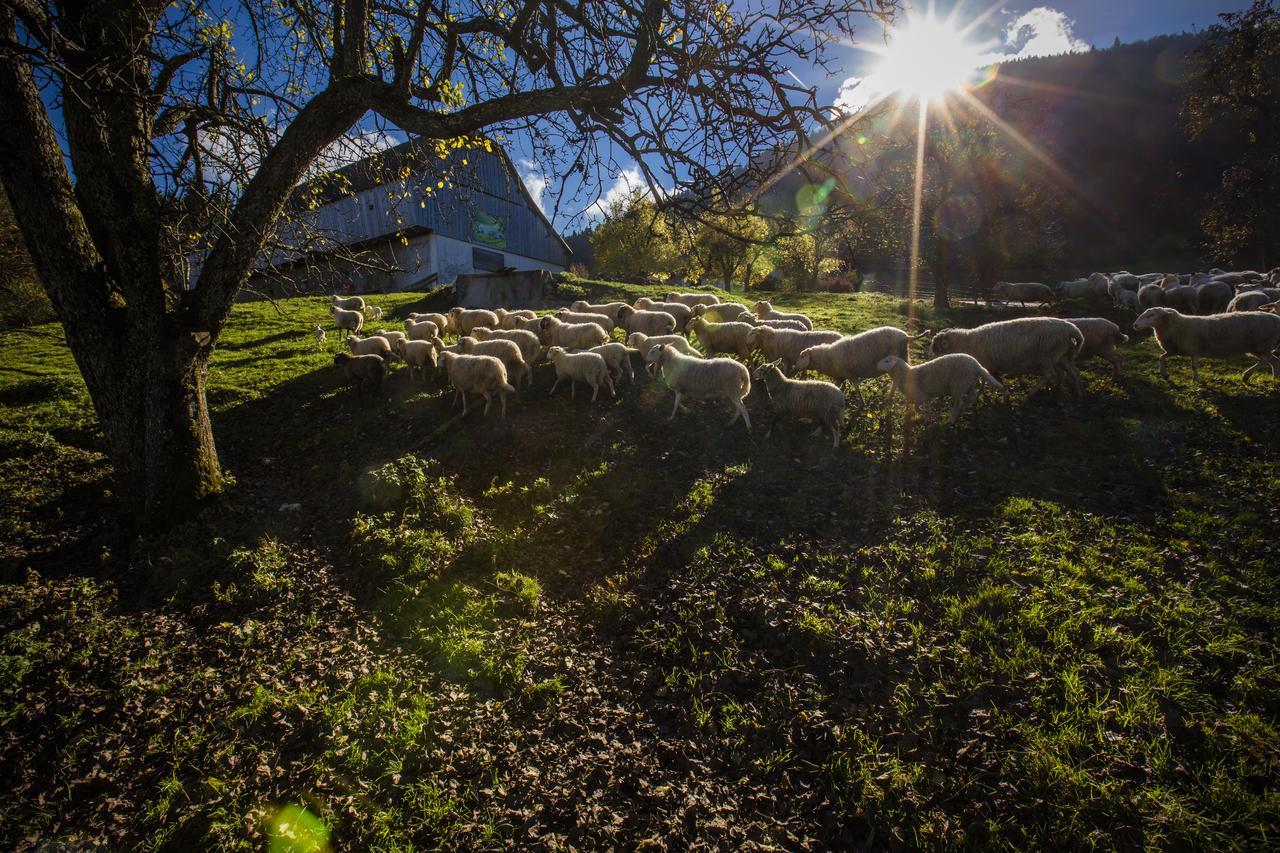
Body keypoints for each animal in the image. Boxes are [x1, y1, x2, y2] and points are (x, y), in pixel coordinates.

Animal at [788, 326, 931, 404]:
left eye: (802, 356)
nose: (795, 367)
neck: (828, 358)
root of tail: (906, 336)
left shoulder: (850, 373)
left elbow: (856, 387)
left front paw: (862, 403)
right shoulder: (841, 375)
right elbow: (839, 386)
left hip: (900, 360)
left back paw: (891, 397)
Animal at [875, 350, 1003, 422]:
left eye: (887, 361)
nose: (876, 365)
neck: (907, 374)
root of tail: (976, 365)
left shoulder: (920, 396)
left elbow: (917, 408)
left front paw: (923, 416)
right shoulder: (927, 396)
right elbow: (927, 407)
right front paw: (928, 417)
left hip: (958, 384)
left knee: (959, 402)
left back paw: (951, 419)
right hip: (968, 382)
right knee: (972, 396)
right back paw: (962, 410)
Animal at [926, 315, 1085, 402]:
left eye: (936, 346)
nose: (929, 357)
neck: (967, 342)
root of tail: (1071, 328)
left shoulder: (987, 363)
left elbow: (990, 379)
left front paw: (1002, 395)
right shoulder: (984, 363)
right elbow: (984, 379)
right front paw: (982, 390)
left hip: (1045, 358)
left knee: (1050, 375)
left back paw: (1032, 392)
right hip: (1061, 356)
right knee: (1073, 372)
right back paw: (1074, 392)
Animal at [1131, 306, 1280, 381]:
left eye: (1152, 315)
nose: (1135, 325)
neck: (1177, 325)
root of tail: (1277, 318)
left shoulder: (1193, 349)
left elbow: (1194, 366)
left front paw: (1196, 380)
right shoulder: (1175, 350)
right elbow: (1161, 357)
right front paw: (1163, 373)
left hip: (1261, 344)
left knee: (1266, 361)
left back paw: (1248, 375)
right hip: (1260, 347)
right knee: (1272, 360)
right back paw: (1273, 377)